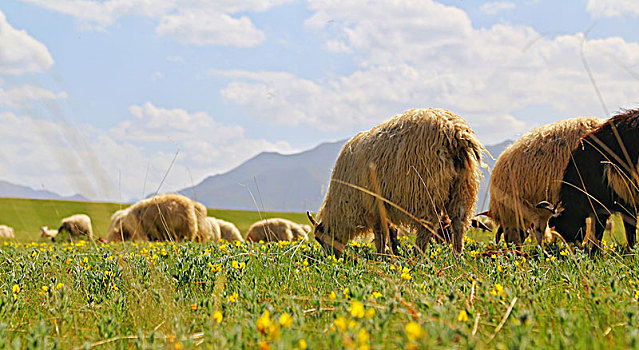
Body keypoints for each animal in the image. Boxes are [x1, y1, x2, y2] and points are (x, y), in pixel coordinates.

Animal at [308, 107, 482, 258]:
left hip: (425, 189)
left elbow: (380, 235)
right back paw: (457, 255)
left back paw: (418, 255)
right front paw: (393, 254)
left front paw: (380, 256)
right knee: (459, 221)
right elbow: (391, 234)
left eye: (319, 239)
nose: (331, 259)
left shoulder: (372, 208)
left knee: (427, 224)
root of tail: (454, 130)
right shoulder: (383, 208)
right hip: (463, 185)